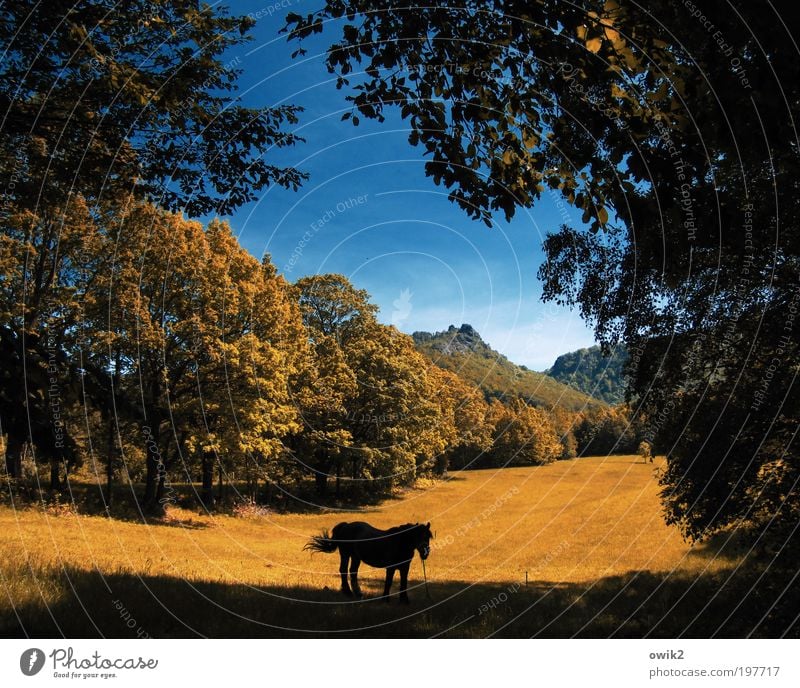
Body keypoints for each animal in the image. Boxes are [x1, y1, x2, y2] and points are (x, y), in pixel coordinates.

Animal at [304, 520, 432, 600]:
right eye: (417, 536)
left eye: (428, 537)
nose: (425, 553)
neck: (399, 542)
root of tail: (346, 525)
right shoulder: (390, 568)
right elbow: (389, 582)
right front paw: (385, 599)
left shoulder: (405, 567)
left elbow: (404, 582)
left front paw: (404, 600)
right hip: (345, 554)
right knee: (343, 570)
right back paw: (348, 592)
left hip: (355, 557)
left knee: (353, 572)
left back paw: (358, 593)